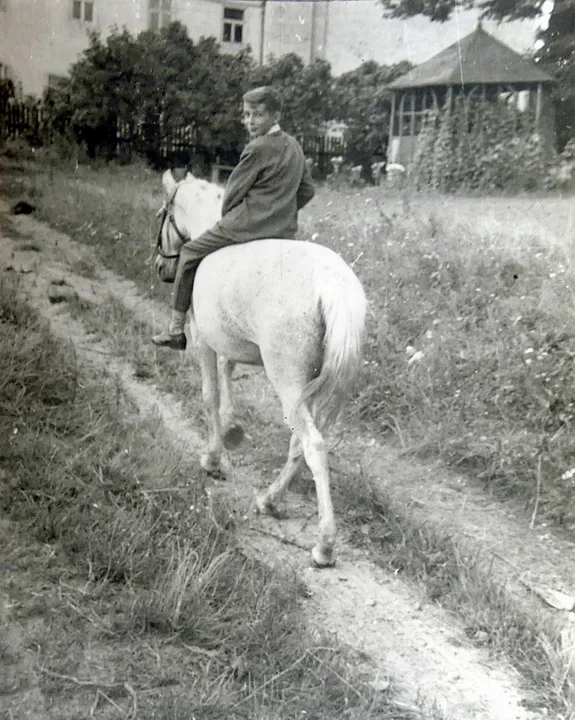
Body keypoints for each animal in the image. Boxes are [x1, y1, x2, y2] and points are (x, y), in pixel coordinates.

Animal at [155, 170, 366, 568]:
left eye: (163, 214)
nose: (162, 268)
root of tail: (331, 282)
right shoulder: (228, 340)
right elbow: (228, 372)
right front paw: (233, 427)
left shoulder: (204, 339)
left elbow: (209, 395)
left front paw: (213, 459)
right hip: (313, 387)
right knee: (300, 444)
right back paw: (270, 499)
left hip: (289, 381)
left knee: (312, 445)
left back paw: (324, 545)